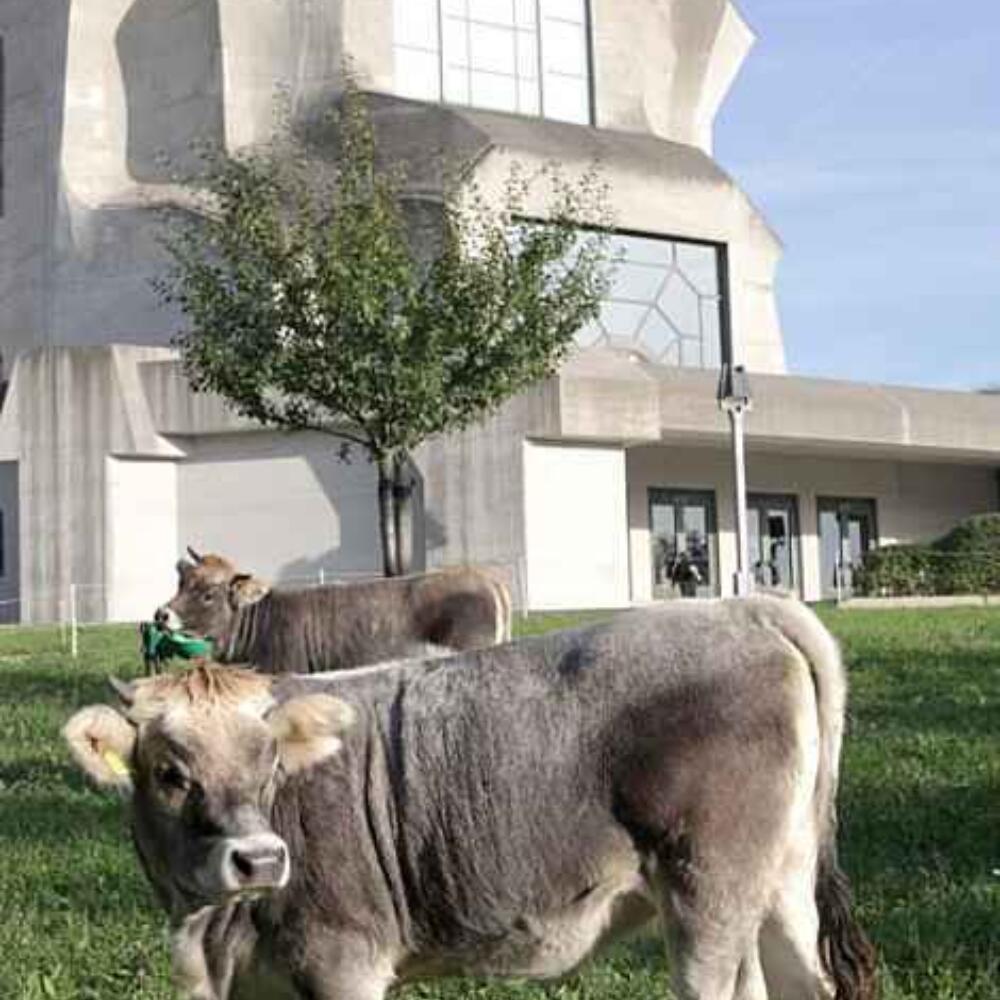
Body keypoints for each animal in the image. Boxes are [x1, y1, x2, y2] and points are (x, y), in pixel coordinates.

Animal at [64, 596, 876, 1000]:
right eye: (169, 772)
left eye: (269, 764)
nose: (260, 859)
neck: (211, 930)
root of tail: (742, 608)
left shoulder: (343, 961)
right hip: (782, 883)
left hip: (710, 889)